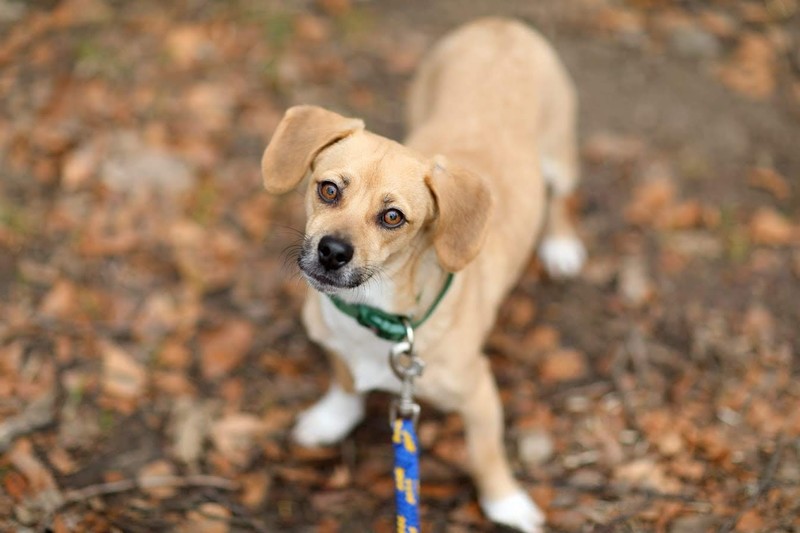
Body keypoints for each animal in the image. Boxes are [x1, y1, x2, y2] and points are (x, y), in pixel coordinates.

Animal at [260, 17, 580, 532]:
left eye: (393, 217)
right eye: (327, 189)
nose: (333, 252)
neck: (373, 315)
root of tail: (499, 24)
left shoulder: (480, 394)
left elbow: (486, 455)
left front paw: (507, 502)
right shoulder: (335, 348)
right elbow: (345, 384)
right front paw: (331, 419)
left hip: (561, 154)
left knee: (564, 199)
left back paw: (563, 245)